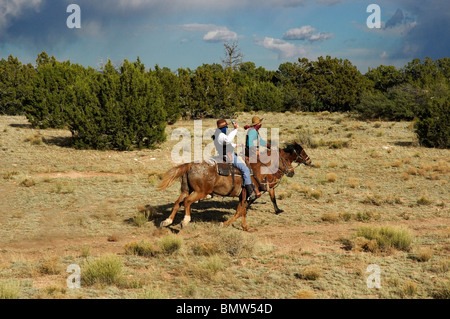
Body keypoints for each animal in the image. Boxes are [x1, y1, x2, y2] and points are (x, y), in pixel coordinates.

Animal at [157, 142, 310, 230]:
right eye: (287, 159)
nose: (291, 172)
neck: (258, 168)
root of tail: (190, 165)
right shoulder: (252, 194)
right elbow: (241, 211)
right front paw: (225, 224)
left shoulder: (244, 195)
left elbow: (242, 211)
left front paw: (245, 226)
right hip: (200, 192)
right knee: (187, 202)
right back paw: (185, 220)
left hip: (186, 189)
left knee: (178, 202)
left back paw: (167, 221)